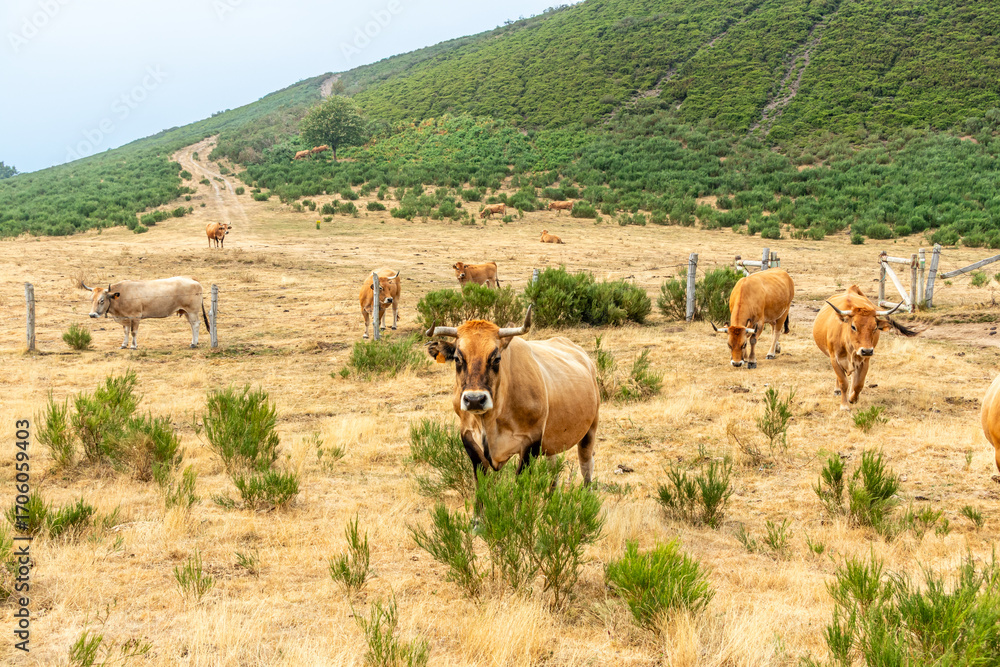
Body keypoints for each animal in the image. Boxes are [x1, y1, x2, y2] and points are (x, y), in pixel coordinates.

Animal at [425, 306, 600, 485]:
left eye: (496, 358)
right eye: (457, 358)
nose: (475, 400)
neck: (490, 420)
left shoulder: (531, 443)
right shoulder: (469, 440)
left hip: (590, 429)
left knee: (586, 465)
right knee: (553, 469)